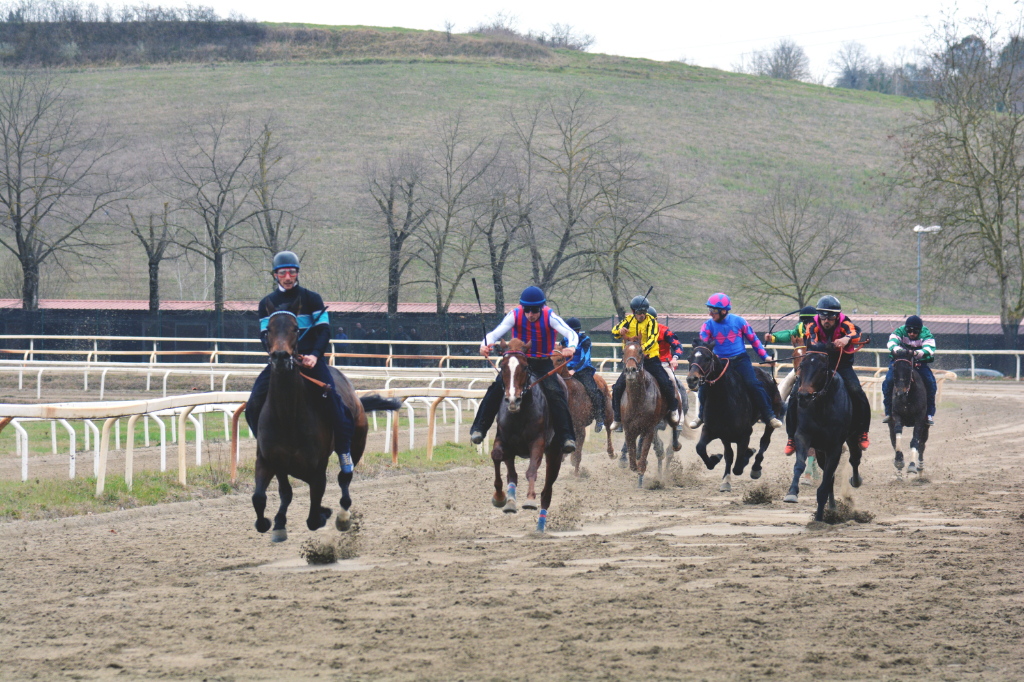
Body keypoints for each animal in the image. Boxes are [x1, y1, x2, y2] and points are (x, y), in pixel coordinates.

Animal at [251, 296, 399, 540]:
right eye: (268, 329)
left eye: (295, 328)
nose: (281, 357)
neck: (287, 417)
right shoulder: (269, 460)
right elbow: (264, 497)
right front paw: (275, 522)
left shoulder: (317, 468)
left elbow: (313, 515)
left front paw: (323, 513)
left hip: (356, 443)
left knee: (344, 478)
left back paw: (342, 516)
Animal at [489, 337, 565, 532]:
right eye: (503, 367)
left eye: (524, 367)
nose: (512, 400)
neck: (519, 413)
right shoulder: (504, 439)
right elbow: (497, 456)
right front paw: (500, 497)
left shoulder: (537, 441)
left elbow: (531, 470)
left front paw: (530, 499)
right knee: (512, 474)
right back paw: (510, 501)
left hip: (555, 452)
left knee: (547, 491)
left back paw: (540, 527)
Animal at [618, 333, 684, 483]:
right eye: (623, 352)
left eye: (640, 351)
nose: (630, 371)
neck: (637, 400)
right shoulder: (629, 429)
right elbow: (633, 461)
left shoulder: (648, 429)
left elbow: (643, 458)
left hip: (674, 411)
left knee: (675, 427)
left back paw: (675, 444)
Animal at [684, 337, 778, 489]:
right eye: (689, 358)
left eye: (708, 358)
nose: (692, 379)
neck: (723, 400)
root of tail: (769, 376)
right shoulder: (717, 431)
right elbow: (704, 449)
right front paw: (717, 463)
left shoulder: (745, 433)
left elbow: (738, 466)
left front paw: (746, 456)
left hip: (773, 416)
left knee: (764, 441)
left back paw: (756, 468)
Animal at [782, 346, 864, 520]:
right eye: (802, 365)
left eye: (822, 369)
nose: (803, 395)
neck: (821, 407)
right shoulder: (803, 436)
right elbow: (800, 464)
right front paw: (792, 493)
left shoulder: (835, 447)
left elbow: (824, 484)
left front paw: (819, 518)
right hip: (821, 451)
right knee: (830, 477)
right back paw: (832, 506)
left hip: (852, 438)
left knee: (854, 459)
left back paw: (856, 481)